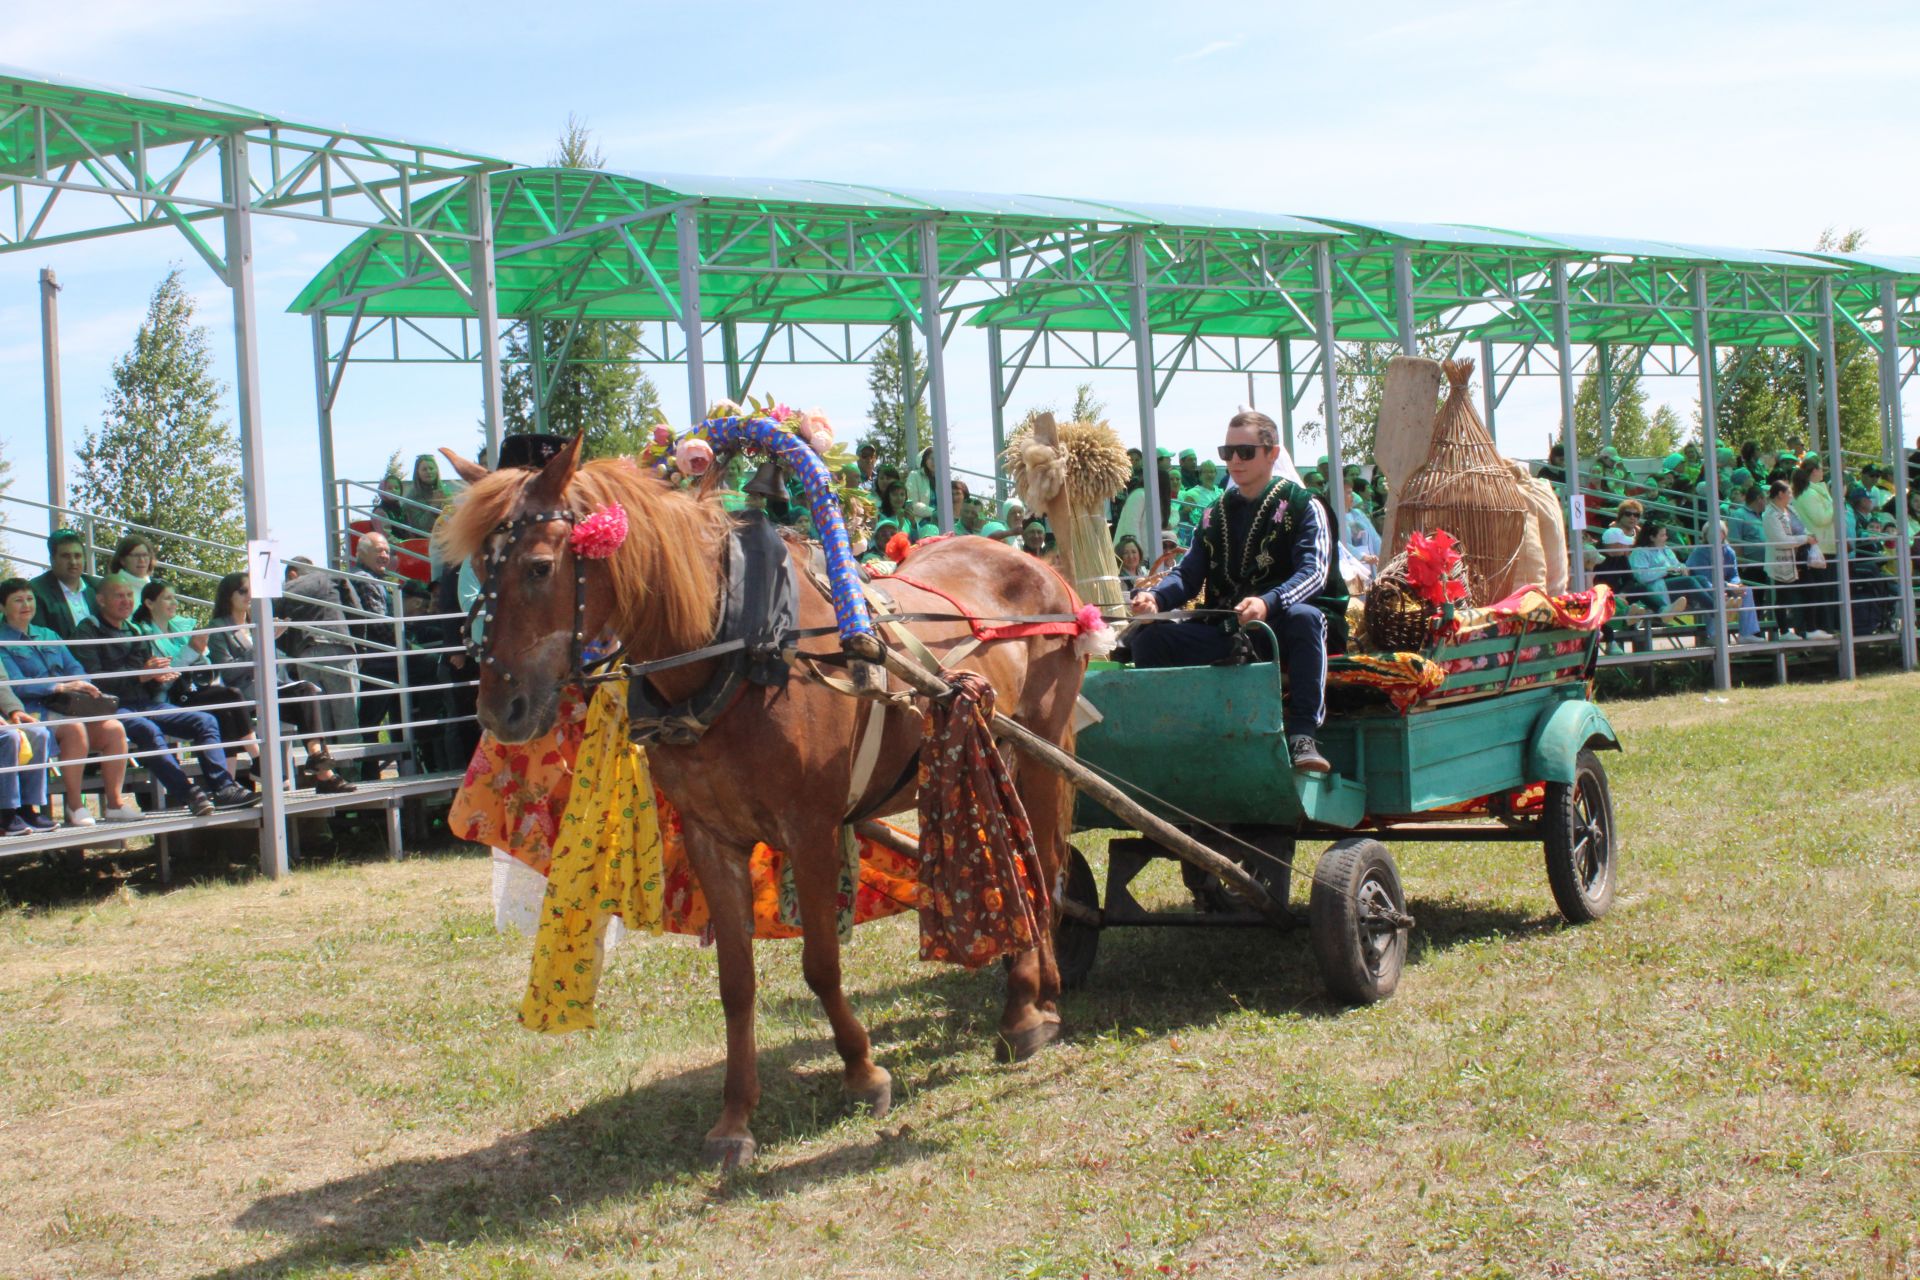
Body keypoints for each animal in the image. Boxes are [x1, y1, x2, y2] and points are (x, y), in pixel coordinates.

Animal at [439, 441, 1098, 1174]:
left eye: (539, 566)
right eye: (476, 571)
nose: (500, 709)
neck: (742, 646)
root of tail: (1042, 570)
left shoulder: (810, 830)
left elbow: (820, 965)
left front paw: (862, 1072)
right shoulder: (712, 839)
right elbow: (736, 983)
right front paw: (735, 1119)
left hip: (1044, 745)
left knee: (1041, 863)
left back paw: (1028, 1005)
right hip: (999, 747)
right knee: (1017, 854)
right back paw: (1029, 990)